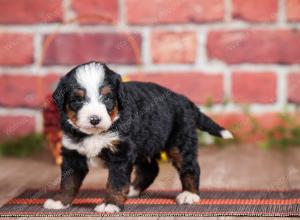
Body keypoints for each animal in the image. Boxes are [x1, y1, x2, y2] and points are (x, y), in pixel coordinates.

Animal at [43, 61, 233, 212]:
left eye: (108, 98)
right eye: (77, 100)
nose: (94, 119)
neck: (95, 133)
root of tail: (185, 100)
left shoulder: (120, 151)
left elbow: (116, 182)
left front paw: (110, 204)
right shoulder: (72, 152)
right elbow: (68, 181)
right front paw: (60, 201)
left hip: (180, 142)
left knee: (190, 167)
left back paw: (189, 195)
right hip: (145, 142)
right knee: (151, 168)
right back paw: (133, 189)